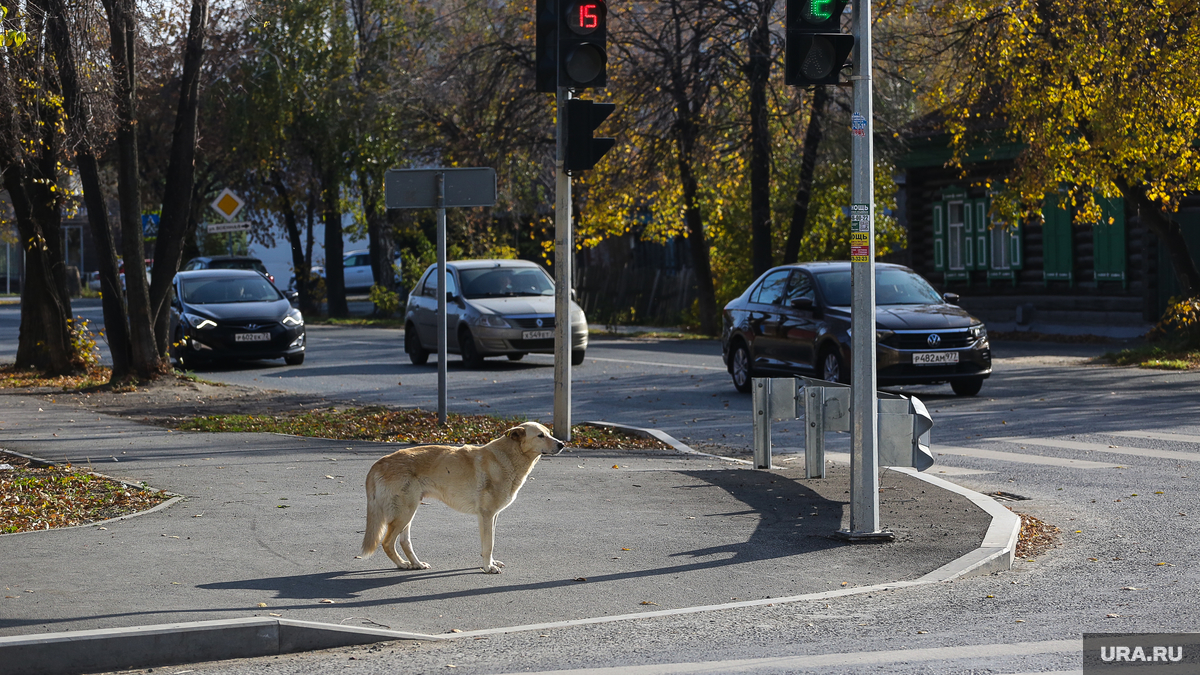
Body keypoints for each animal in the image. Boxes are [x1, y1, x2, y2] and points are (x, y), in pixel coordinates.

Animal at [357, 417, 564, 569]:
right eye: (540, 435)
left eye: (549, 433)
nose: (562, 444)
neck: (508, 457)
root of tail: (379, 462)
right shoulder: (486, 515)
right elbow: (489, 544)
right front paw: (488, 568)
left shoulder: (492, 517)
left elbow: (490, 542)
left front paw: (490, 563)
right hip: (404, 513)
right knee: (387, 543)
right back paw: (402, 564)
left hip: (408, 513)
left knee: (404, 542)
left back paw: (416, 564)